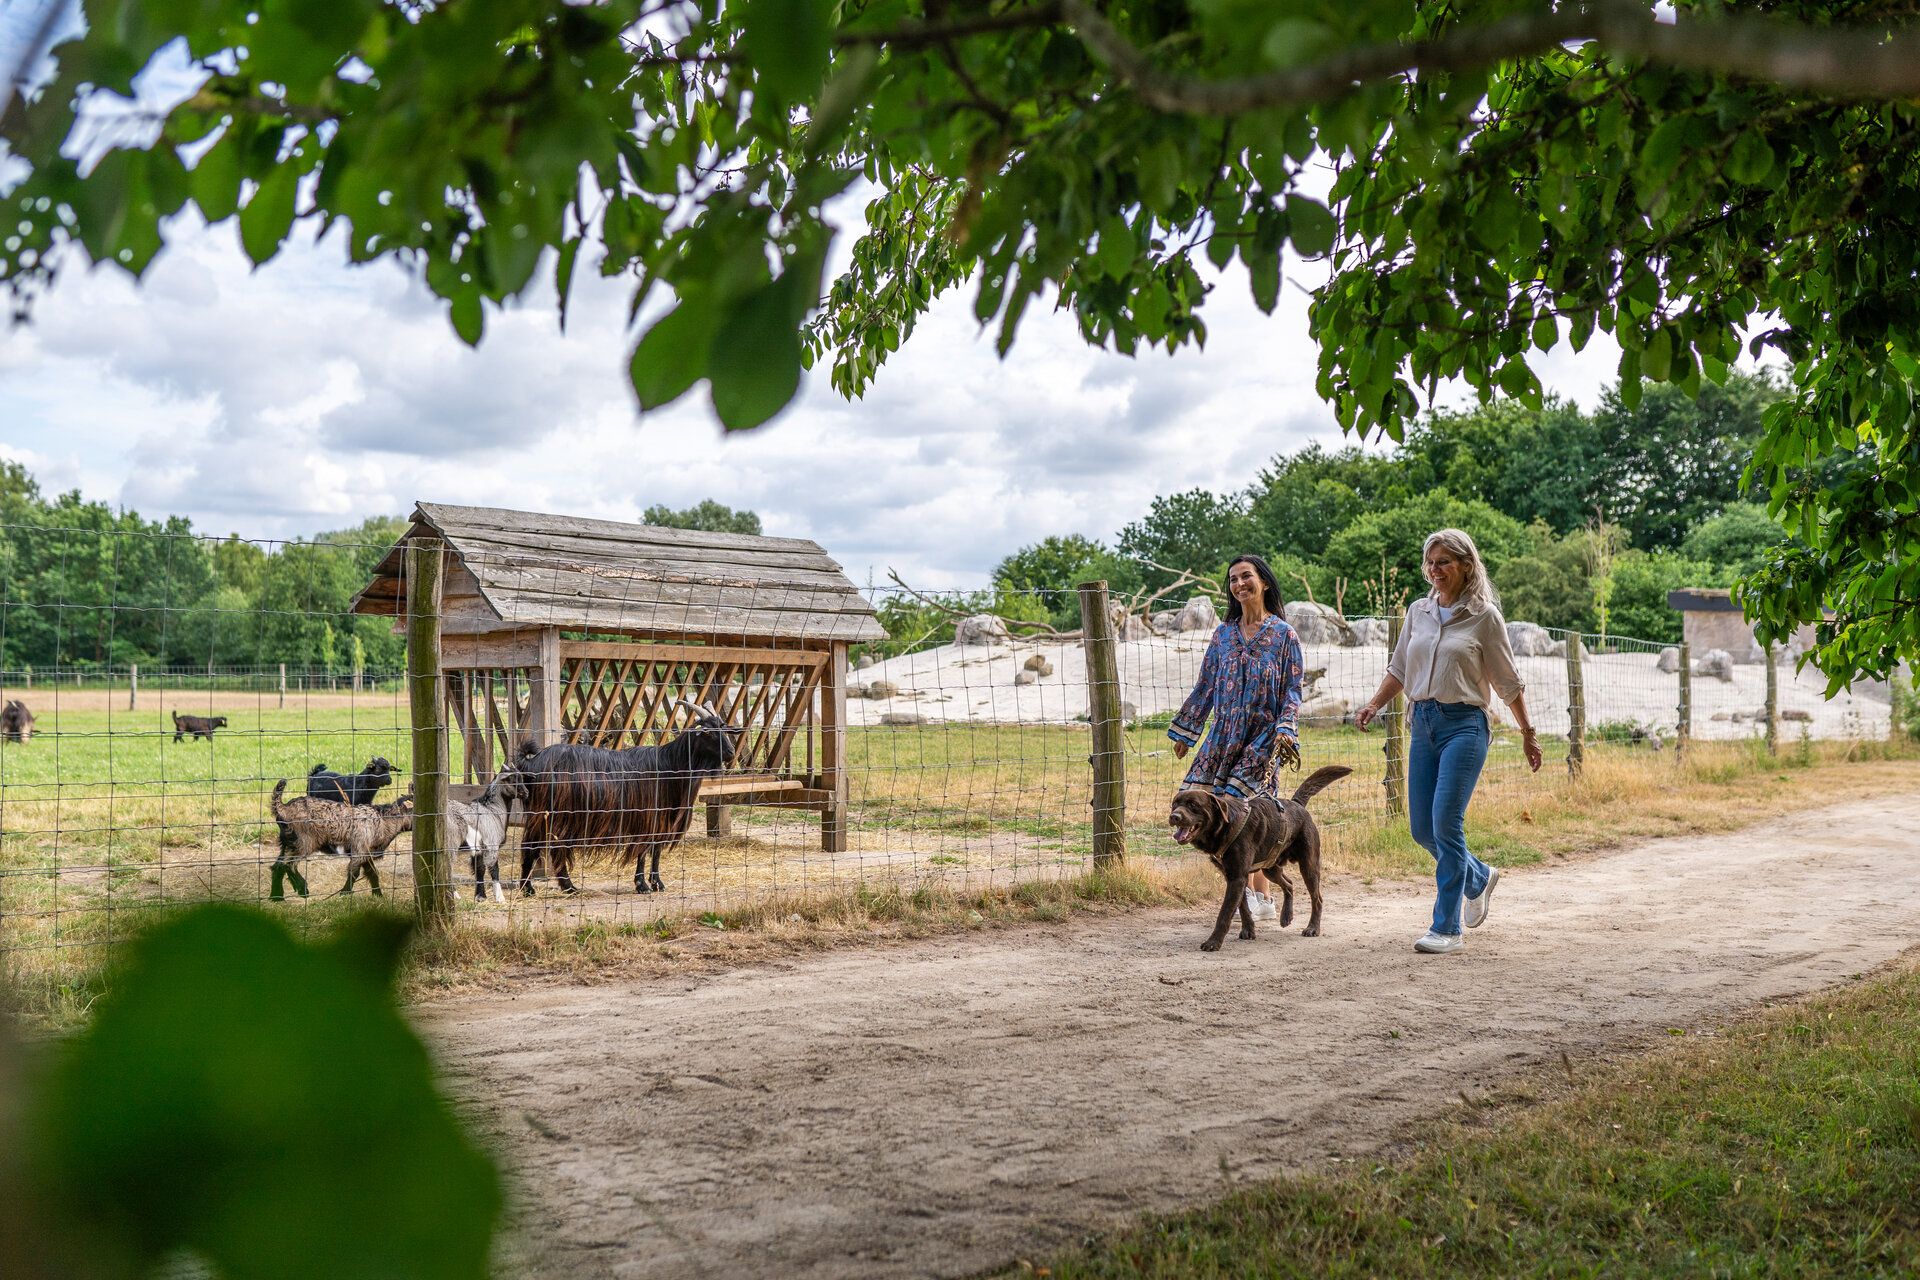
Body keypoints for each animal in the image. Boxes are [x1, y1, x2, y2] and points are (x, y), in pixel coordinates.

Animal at [518, 694, 741, 898]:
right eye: (708, 732)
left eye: (723, 727)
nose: (731, 753)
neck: (669, 765)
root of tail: (532, 761)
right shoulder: (646, 817)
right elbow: (642, 851)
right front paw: (642, 885)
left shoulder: (661, 819)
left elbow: (656, 851)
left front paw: (657, 883)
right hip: (550, 813)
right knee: (536, 845)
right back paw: (537, 888)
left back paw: (558, 887)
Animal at [1167, 759, 1351, 951]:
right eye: (1175, 804)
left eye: (1193, 805)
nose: (1174, 816)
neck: (1226, 825)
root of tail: (1297, 804)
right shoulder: (1234, 876)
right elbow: (1242, 907)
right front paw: (1249, 930)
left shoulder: (1237, 877)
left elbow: (1225, 913)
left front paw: (1213, 942)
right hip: (1270, 867)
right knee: (1289, 884)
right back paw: (1286, 916)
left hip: (1309, 864)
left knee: (1317, 898)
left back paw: (1313, 928)